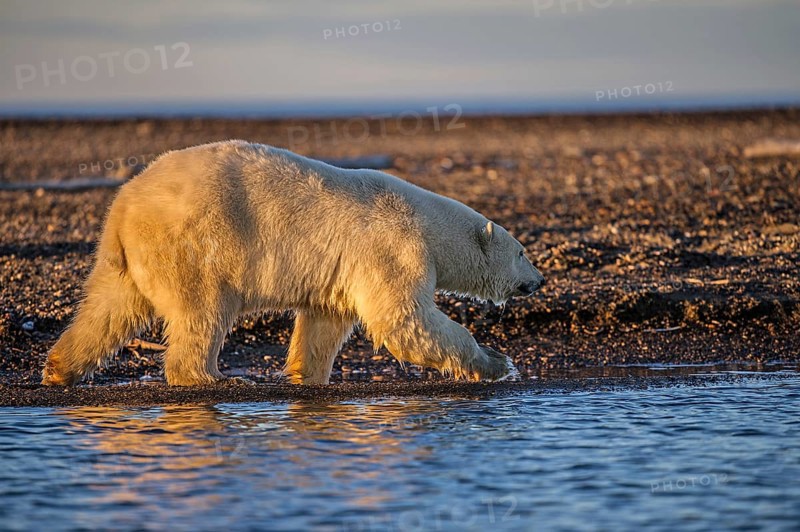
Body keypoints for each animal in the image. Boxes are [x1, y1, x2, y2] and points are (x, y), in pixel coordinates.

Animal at [41, 140, 545, 386]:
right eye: (522, 252)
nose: (538, 281)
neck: (427, 223)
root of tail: (123, 206)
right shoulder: (394, 248)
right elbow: (403, 320)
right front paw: (498, 362)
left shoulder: (344, 270)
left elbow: (325, 320)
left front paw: (310, 377)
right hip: (192, 245)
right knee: (202, 311)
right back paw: (214, 379)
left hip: (128, 258)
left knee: (108, 308)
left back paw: (59, 368)